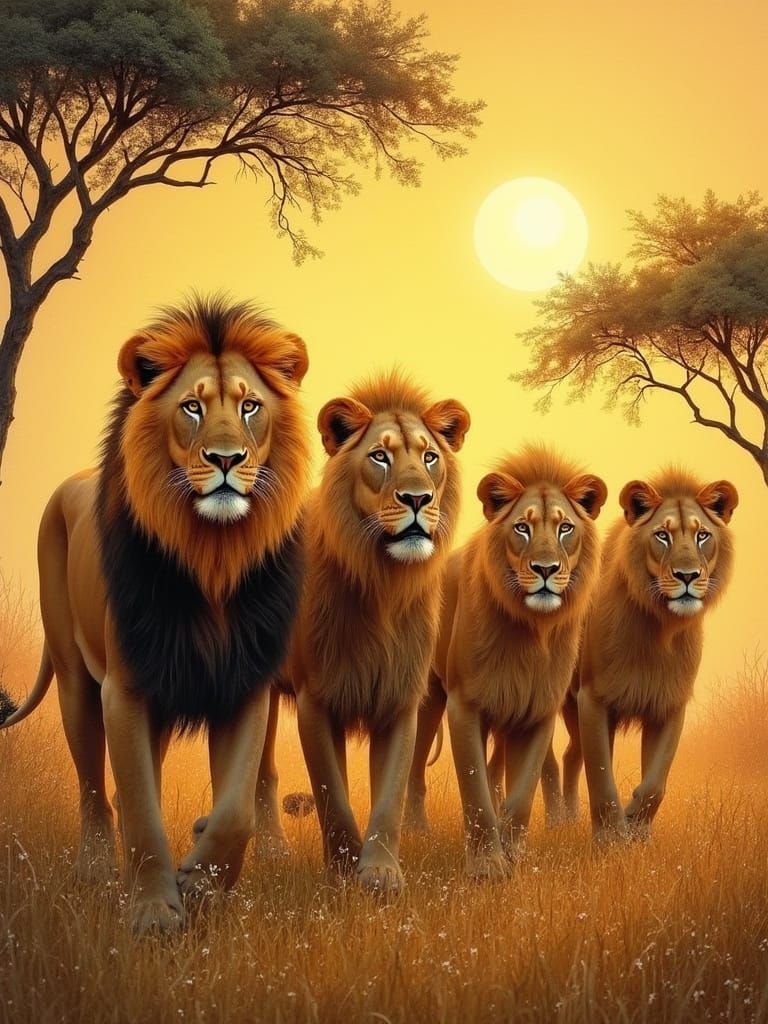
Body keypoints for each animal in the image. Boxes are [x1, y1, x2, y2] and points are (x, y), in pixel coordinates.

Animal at [0, 297, 310, 934]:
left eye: (250, 406)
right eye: (192, 406)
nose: (226, 459)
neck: (212, 556)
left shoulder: (244, 684)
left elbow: (236, 808)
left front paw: (201, 883)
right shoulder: (126, 689)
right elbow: (141, 808)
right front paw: (153, 912)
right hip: (76, 681)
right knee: (96, 788)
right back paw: (96, 869)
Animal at [266, 371, 469, 894]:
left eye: (430, 457)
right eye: (380, 456)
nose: (417, 498)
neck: (384, 584)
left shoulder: (400, 697)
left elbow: (391, 793)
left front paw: (381, 872)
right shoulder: (316, 698)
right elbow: (331, 795)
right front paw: (342, 871)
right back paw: (273, 850)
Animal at [404, 446, 607, 880]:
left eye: (565, 528)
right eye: (522, 528)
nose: (545, 569)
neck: (530, 631)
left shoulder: (538, 710)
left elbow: (520, 794)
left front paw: (513, 853)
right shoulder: (465, 705)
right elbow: (475, 790)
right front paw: (487, 867)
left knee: (497, 771)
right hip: (431, 697)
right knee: (414, 767)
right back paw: (415, 829)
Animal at [544, 469, 738, 844]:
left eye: (702, 535)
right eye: (662, 535)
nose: (688, 576)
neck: (659, 627)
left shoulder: (669, 702)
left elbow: (655, 782)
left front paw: (637, 829)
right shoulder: (594, 699)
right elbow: (602, 778)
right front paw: (610, 838)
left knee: (572, 755)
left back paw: (571, 818)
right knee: (548, 761)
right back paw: (553, 819)